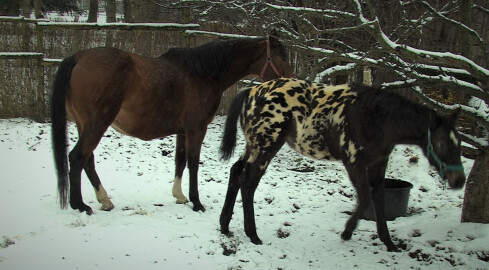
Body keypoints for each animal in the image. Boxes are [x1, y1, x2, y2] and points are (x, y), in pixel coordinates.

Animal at [50, 35, 294, 214]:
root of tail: (78, 57)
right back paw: (80, 205)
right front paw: (197, 202)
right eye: (281, 56)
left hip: (86, 125)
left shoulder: (182, 131)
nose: (292, 80)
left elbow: (180, 161)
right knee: (78, 157)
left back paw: (103, 200)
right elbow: (194, 163)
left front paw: (180, 196)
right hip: (97, 124)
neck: (203, 74)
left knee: (87, 160)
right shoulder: (197, 129)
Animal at [218, 77, 466, 251]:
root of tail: (251, 92)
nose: (459, 180)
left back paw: (225, 225)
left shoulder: (378, 165)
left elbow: (379, 199)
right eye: (441, 142)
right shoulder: (353, 161)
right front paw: (347, 232)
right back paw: (253, 235)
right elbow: (364, 197)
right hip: (266, 148)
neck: (375, 117)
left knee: (236, 172)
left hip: (254, 147)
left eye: (459, 142)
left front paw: (389, 243)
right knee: (248, 183)